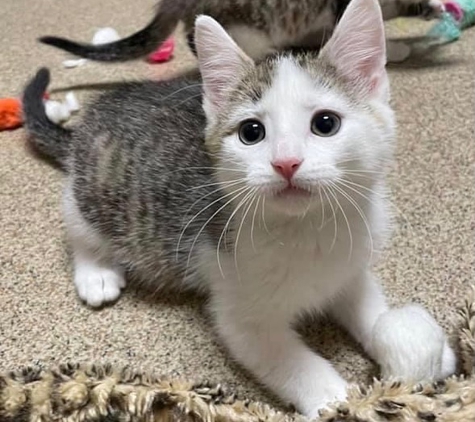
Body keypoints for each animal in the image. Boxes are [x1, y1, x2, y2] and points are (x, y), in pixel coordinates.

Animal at [24, 0, 456, 416]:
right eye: (252, 132)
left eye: (326, 123)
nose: (286, 162)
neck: (308, 229)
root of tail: (93, 117)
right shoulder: (242, 315)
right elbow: (292, 363)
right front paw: (341, 401)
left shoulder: (348, 266)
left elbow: (367, 303)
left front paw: (422, 348)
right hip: (93, 190)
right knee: (77, 224)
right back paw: (96, 272)